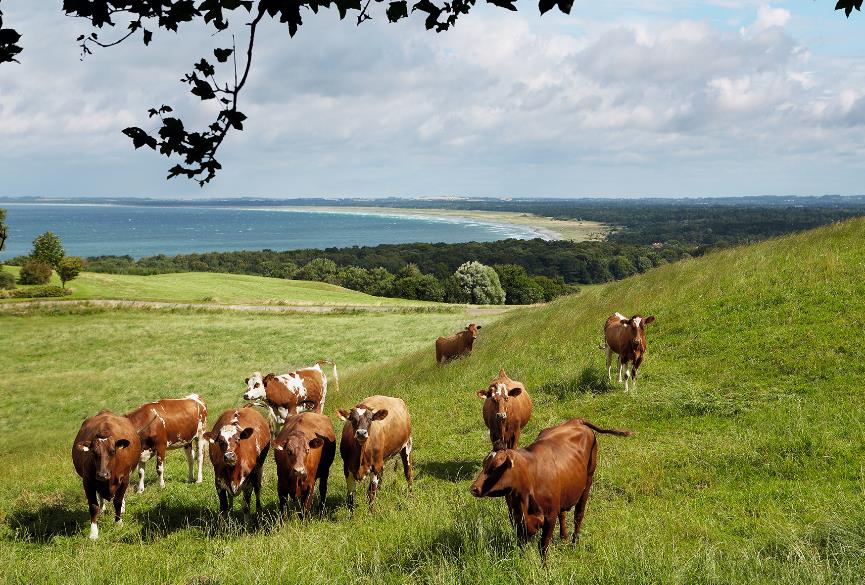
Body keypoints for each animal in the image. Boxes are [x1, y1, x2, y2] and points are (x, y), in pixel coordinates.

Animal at [72, 410, 143, 539]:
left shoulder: (124, 479)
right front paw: (93, 532)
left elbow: (118, 501)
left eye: (113, 451)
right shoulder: (88, 482)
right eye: (94, 452)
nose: (102, 475)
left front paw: (118, 523)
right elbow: (93, 506)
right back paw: (102, 507)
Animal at [469, 418, 633, 559]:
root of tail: (576, 420)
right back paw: (564, 537)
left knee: (578, 514)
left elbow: (543, 545)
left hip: (588, 480)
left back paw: (574, 543)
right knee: (563, 514)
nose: (474, 488)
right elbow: (521, 543)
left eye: (495, 467)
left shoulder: (549, 517)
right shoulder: (516, 518)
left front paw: (545, 568)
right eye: (484, 464)